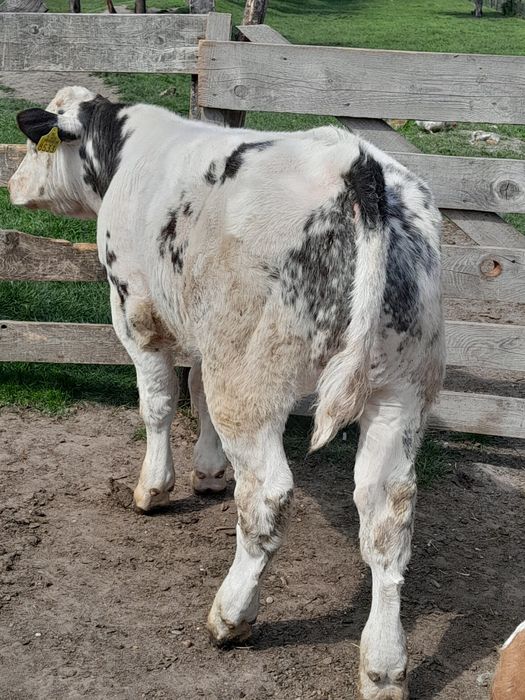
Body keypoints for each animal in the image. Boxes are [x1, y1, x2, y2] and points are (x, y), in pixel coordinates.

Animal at [9, 86, 444, 700]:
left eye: (33, 142)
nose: (13, 185)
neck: (126, 148)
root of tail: (355, 162)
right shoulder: (204, 334)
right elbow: (199, 397)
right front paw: (210, 472)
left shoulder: (137, 312)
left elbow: (159, 404)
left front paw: (154, 488)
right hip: (400, 388)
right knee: (386, 516)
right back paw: (383, 665)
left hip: (252, 374)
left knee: (266, 494)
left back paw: (232, 615)